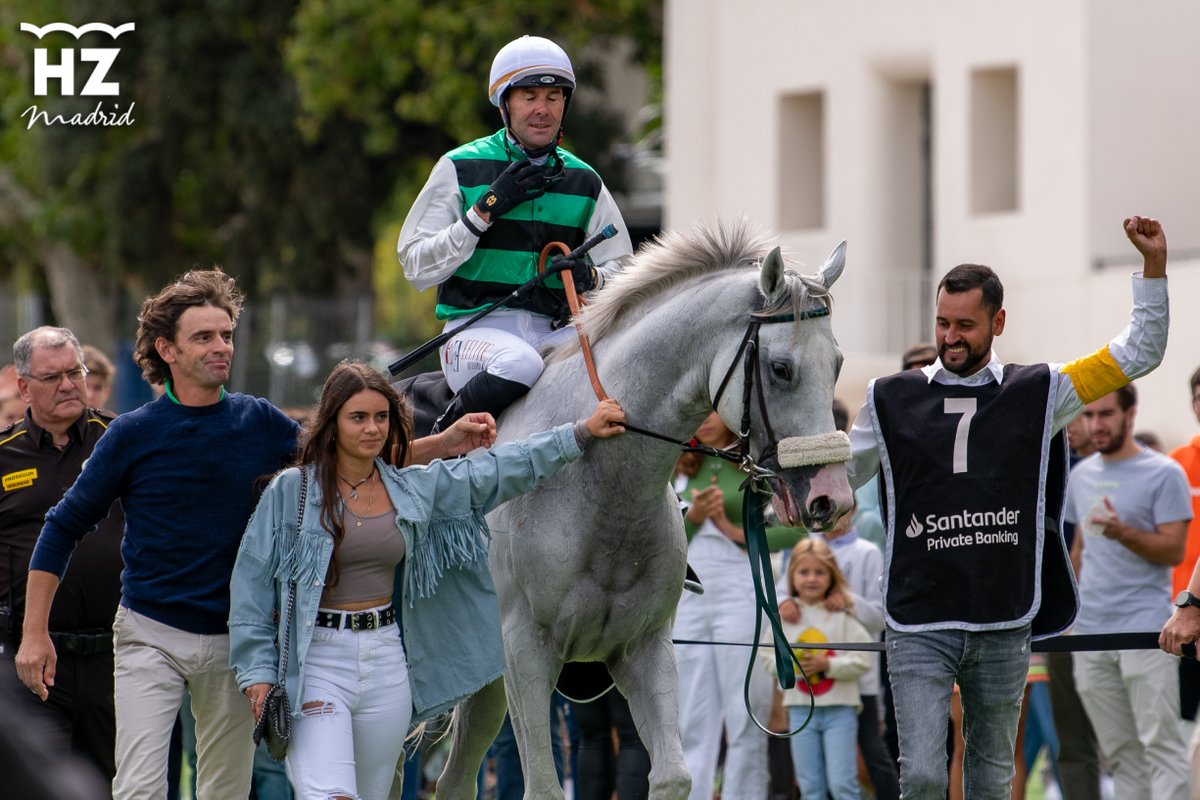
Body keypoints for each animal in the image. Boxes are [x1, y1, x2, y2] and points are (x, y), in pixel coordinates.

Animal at [431, 219, 854, 799]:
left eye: (837, 363)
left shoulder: (645, 647)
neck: (600, 481)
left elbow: (673, 775)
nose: (832, 497)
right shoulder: (525, 651)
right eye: (781, 368)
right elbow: (545, 788)